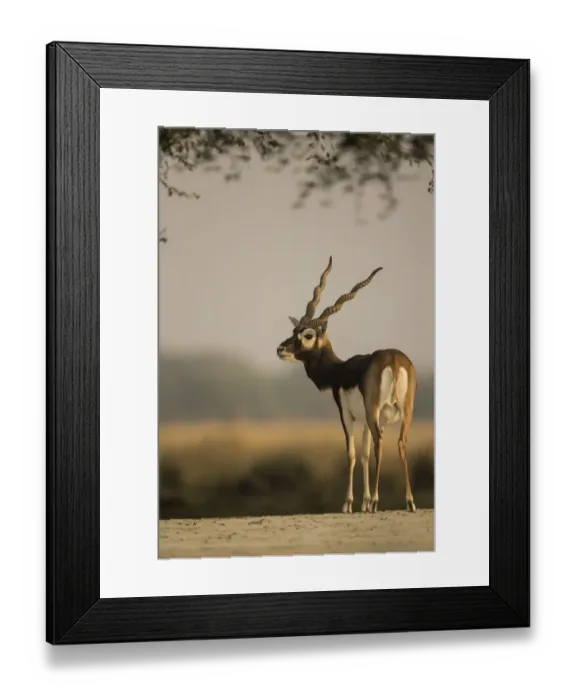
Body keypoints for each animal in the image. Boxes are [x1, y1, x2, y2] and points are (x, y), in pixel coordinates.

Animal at [276, 256, 417, 514]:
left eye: (308, 334)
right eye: (294, 330)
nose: (281, 349)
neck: (339, 370)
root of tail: (393, 359)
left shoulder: (347, 415)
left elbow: (351, 454)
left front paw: (349, 503)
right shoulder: (368, 421)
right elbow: (364, 454)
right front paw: (363, 502)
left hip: (374, 412)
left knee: (382, 445)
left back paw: (377, 502)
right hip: (404, 412)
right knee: (401, 443)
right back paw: (409, 502)